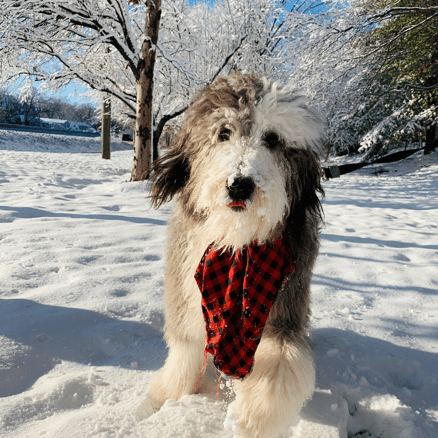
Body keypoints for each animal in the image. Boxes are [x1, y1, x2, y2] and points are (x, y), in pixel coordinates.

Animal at [149, 72, 324, 438]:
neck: (237, 243)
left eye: (272, 139)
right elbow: (185, 351)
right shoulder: (186, 295)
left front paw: (253, 419)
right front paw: (164, 396)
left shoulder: (285, 310)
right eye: (223, 133)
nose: (240, 184)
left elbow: (281, 363)